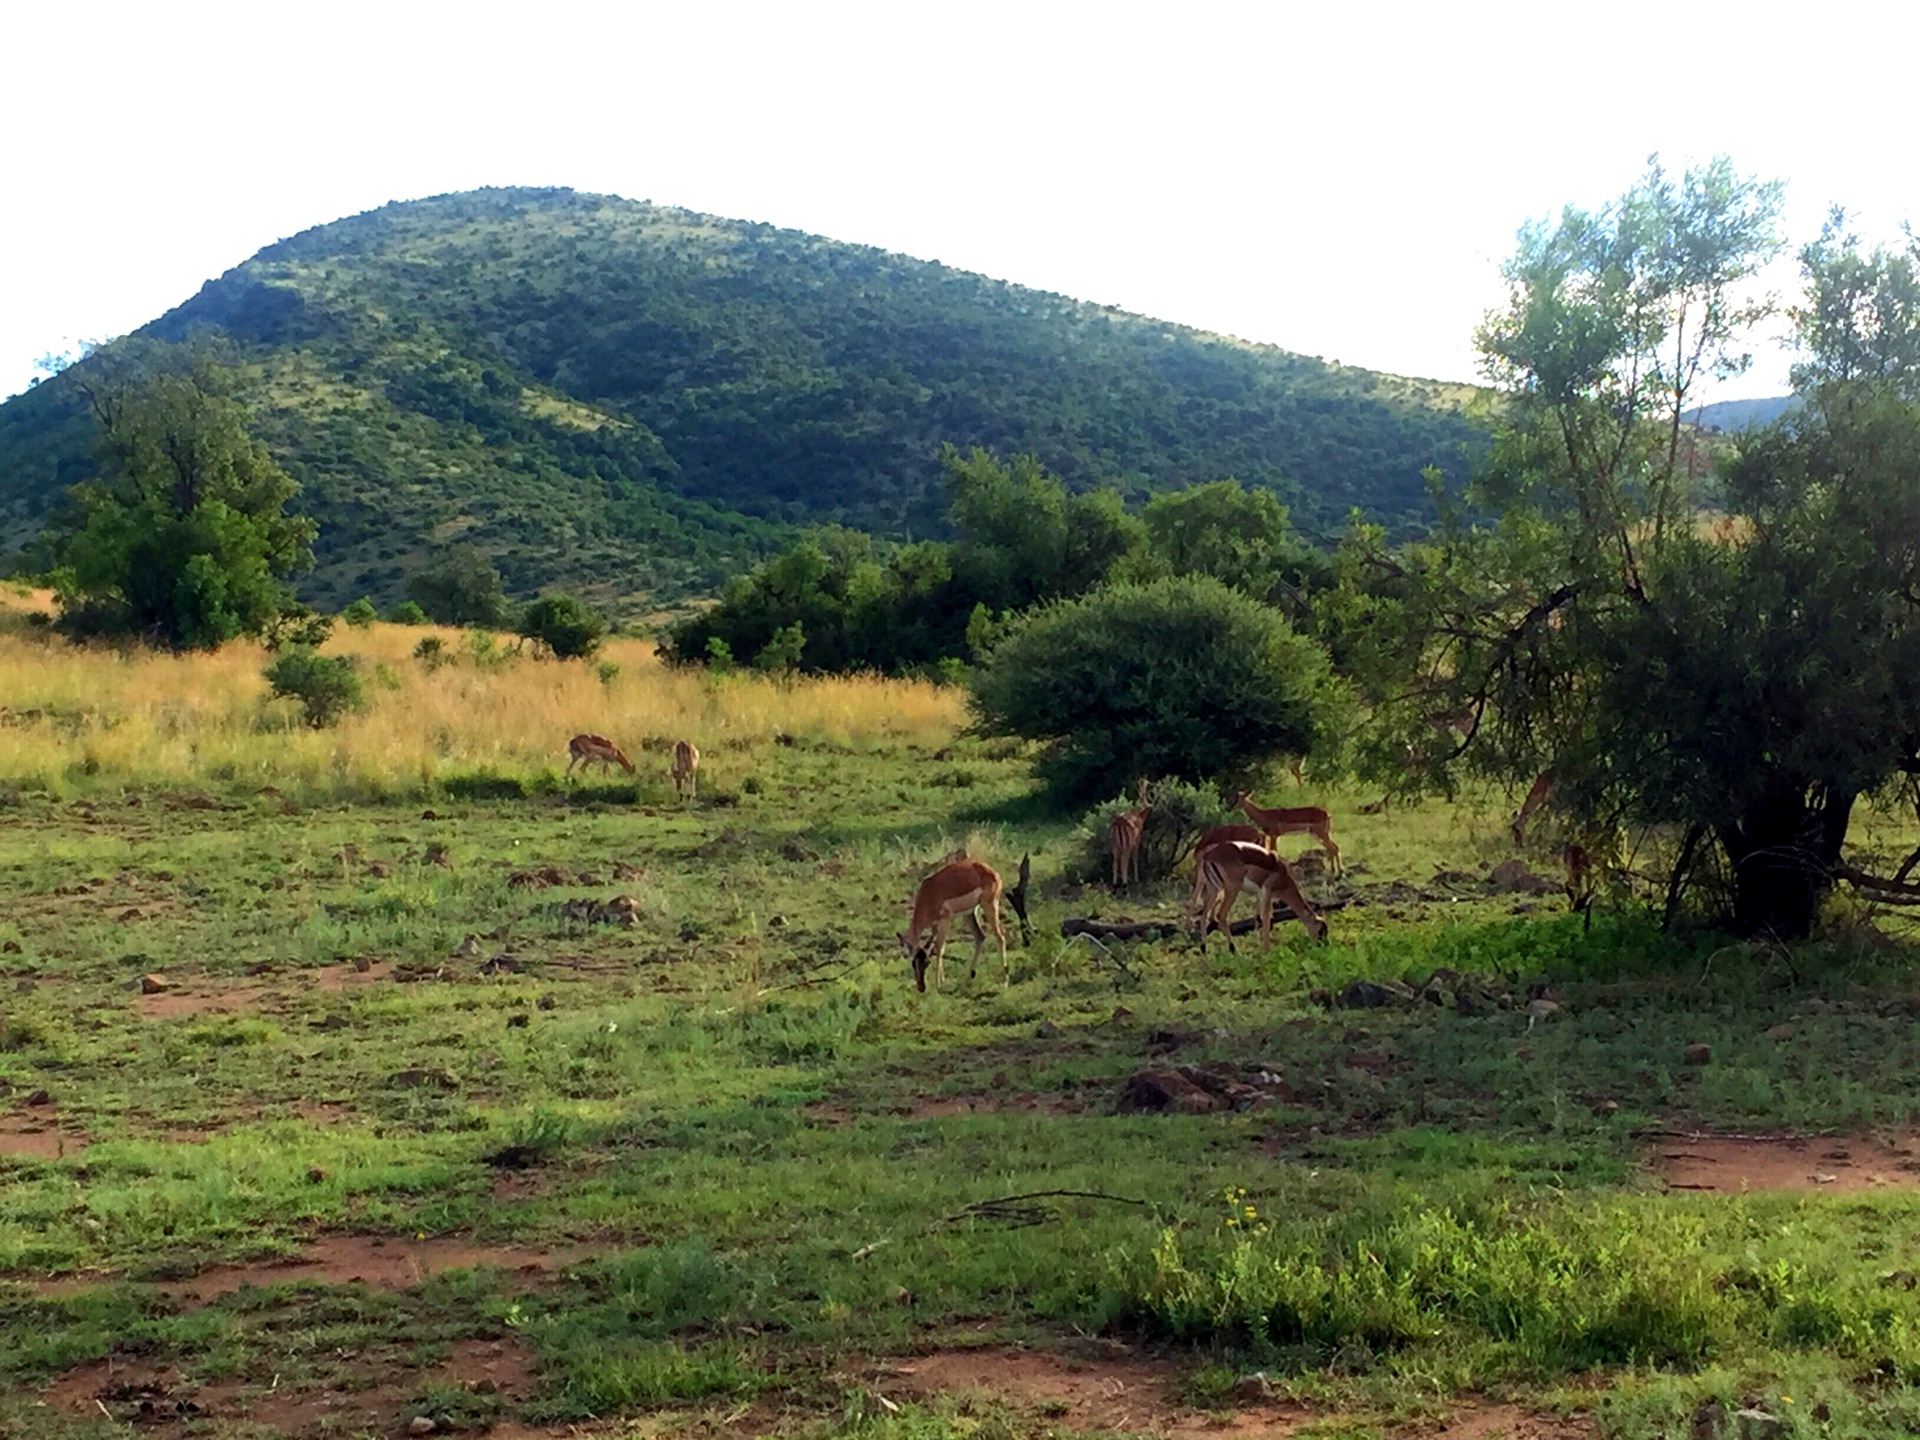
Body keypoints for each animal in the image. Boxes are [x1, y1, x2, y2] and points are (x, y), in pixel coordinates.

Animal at [898, 856, 1013, 990]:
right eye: (913, 963)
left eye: (926, 963)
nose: (921, 988)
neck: (928, 894)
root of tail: (993, 872)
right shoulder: (934, 925)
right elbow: (937, 946)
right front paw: (942, 980)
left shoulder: (945, 919)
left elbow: (939, 946)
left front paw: (938, 984)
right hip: (969, 913)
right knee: (980, 936)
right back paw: (967, 979)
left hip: (989, 906)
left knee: (1000, 937)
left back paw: (1005, 982)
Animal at [1190, 840, 1328, 952]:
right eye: (1321, 930)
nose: (1322, 946)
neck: (1282, 875)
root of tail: (1208, 856)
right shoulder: (1266, 890)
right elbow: (1266, 918)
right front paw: (1267, 950)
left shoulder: (1259, 894)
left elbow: (1259, 919)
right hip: (1231, 890)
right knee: (1221, 916)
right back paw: (1235, 951)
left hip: (1214, 889)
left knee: (1204, 915)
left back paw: (1204, 950)